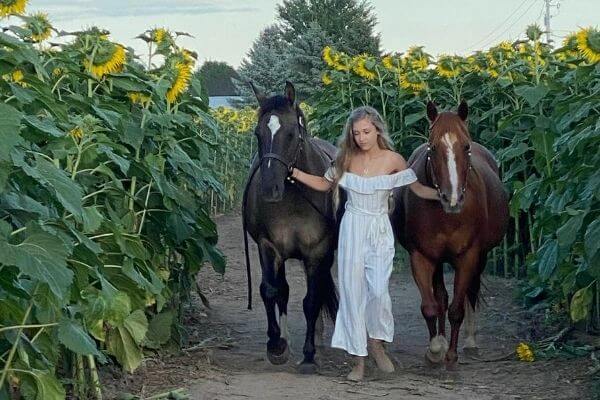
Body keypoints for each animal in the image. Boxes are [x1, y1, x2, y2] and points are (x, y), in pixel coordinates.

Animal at [243, 81, 338, 376]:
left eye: (291, 133)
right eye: (258, 132)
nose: (269, 189)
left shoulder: (316, 252)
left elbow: (311, 300)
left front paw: (309, 356)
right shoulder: (269, 247)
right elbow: (271, 291)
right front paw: (276, 346)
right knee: (282, 291)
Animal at [392, 100, 508, 368]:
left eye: (465, 146)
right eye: (433, 147)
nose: (452, 199)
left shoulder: (468, 256)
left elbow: (457, 308)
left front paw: (452, 354)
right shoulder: (422, 256)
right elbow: (431, 306)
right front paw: (436, 348)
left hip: (481, 257)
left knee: (471, 292)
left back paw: (470, 342)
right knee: (441, 298)